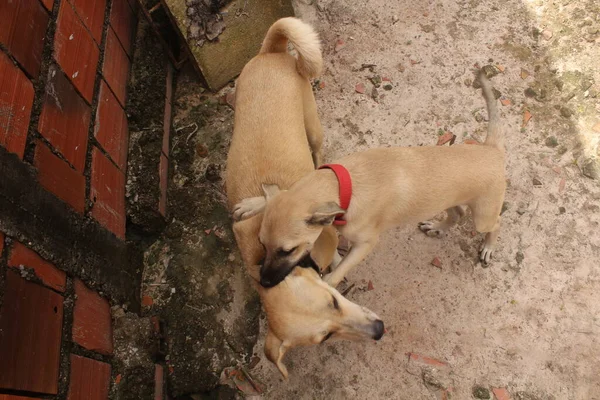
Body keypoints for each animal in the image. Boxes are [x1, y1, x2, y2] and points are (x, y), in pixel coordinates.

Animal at [225, 17, 384, 380]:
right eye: (325, 337)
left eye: (335, 302)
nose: (379, 331)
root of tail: (271, 52)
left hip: (313, 128)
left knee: (318, 151)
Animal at [232, 69, 504, 288]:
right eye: (261, 244)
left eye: (288, 250)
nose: (265, 282)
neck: (345, 185)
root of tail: (491, 149)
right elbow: (281, 191)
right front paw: (253, 204)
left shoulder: (365, 244)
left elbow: (337, 273)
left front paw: (327, 288)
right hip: (449, 200)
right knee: (458, 214)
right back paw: (437, 226)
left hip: (483, 216)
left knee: (494, 224)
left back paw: (489, 247)